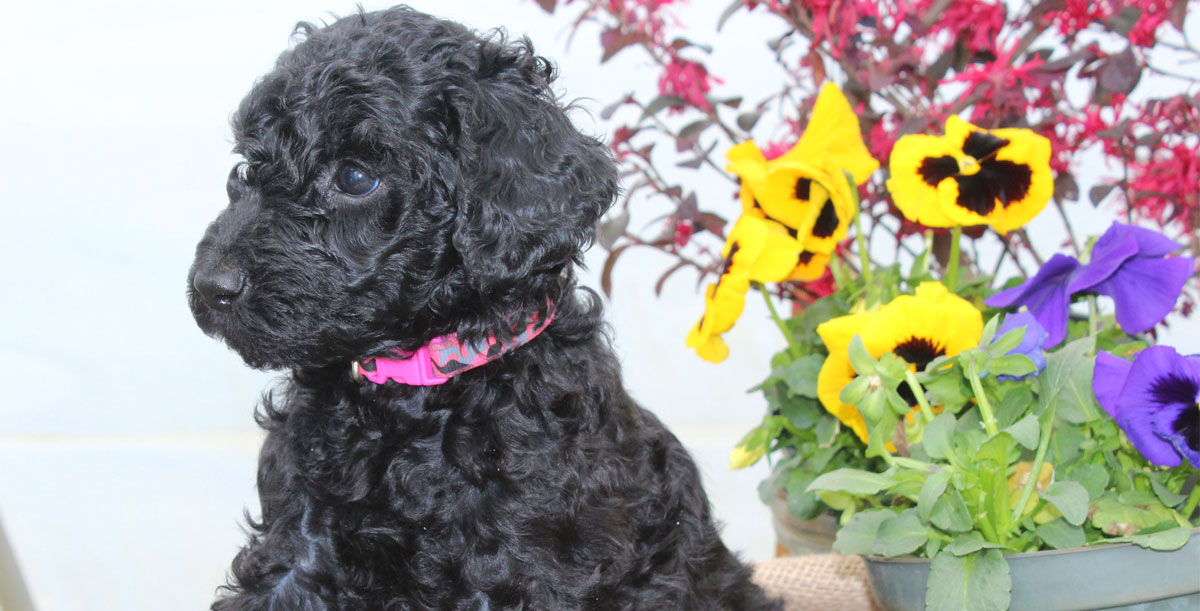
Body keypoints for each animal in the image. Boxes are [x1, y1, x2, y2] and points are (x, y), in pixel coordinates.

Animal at [189, 5, 777, 609]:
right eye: (249, 164)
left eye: (355, 177)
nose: (210, 287)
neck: (417, 390)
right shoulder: (298, 548)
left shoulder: (524, 568)